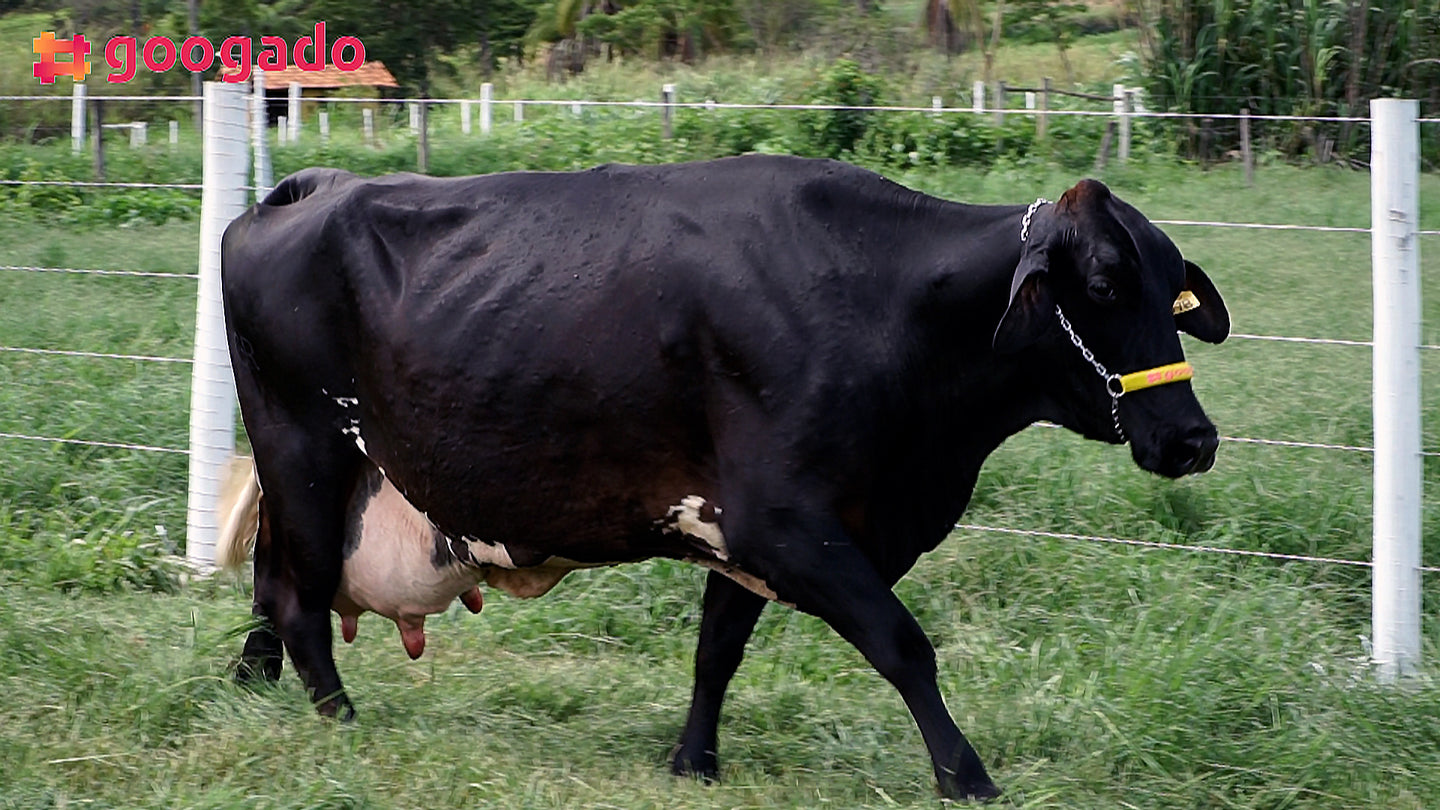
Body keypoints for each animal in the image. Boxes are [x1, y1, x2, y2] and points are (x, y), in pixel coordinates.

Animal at [216, 154, 1226, 795]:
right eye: (1103, 286)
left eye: (1176, 292)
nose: (1192, 439)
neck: (886, 303)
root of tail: (313, 189)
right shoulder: (786, 520)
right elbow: (904, 645)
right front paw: (967, 777)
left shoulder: (744, 531)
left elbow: (716, 649)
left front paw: (693, 762)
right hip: (307, 453)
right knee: (298, 602)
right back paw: (342, 723)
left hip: (308, 479)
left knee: (272, 589)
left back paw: (252, 689)